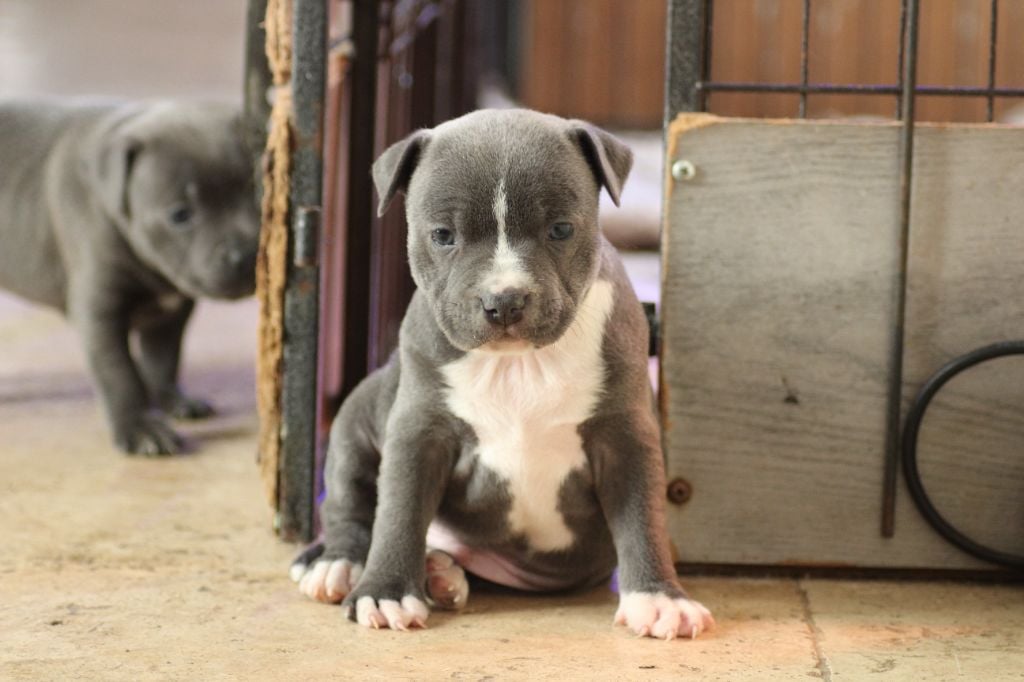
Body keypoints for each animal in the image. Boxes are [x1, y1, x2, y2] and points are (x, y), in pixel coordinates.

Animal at [0, 99, 260, 450]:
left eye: (259, 194)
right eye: (180, 215)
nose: (246, 256)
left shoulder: (170, 315)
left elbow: (163, 360)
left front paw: (171, 400)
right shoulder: (100, 313)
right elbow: (119, 373)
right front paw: (140, 428)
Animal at [292, 107, 716, 638]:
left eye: (560, 229)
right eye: (443, 235)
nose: (504, 300)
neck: (518, 363)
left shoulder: (625, 437)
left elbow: (644, 517)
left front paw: (659, 599)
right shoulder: (418, 431)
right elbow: (399, 512)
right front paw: (385, 592)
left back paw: (440, 571)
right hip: (356, 419)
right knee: (348, 499)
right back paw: (339, 563)